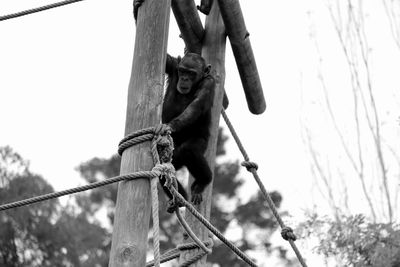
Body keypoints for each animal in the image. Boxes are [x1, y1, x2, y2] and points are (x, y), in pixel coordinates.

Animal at [155, 52, 216, 207]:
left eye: (191, 73)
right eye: (182, 71)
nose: (184, 79)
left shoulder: (209, 83)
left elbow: (196, 105)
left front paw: (168, 127)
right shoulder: (173, 65)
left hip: (202, 143)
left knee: (190, 150)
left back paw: (203, 182)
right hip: (173, 158)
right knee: (163, 167)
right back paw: (178, 199)